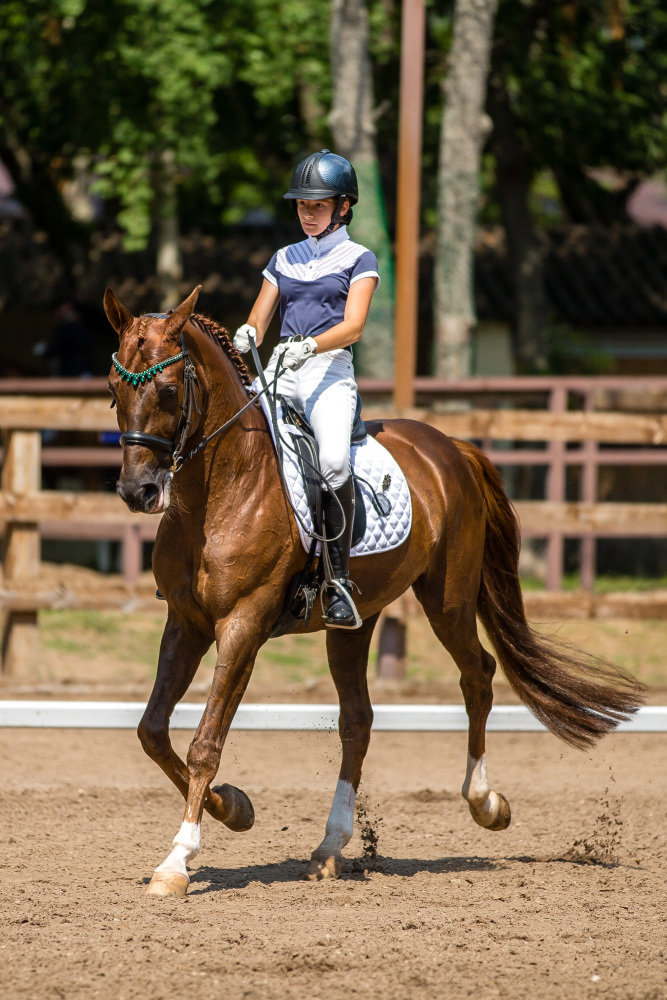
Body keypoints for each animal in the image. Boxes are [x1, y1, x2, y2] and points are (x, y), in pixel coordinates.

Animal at [105, 284, 648, 900]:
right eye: (114, 389)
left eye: (170, 390)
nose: (138, 491)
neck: (219, 490)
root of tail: (450, 445)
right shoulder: (187, 622)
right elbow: (152, 731)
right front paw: (236, 808)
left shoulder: (242, 625)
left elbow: (204, 743)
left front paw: (177, 861)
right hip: (352, 623)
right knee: (358, 721)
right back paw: (330, 846)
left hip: (448, 601)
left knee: (478, 675)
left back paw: (485, 802)